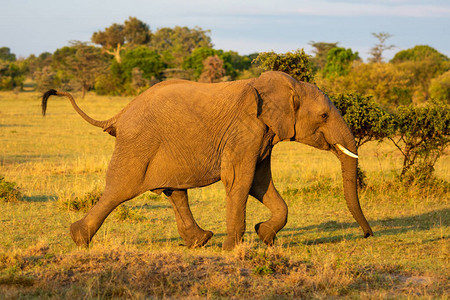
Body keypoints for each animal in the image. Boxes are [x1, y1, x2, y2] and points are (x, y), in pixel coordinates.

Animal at [42, 71, 372, 250]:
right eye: (324, 116)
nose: (367, 234)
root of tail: (120, 114)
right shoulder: (245, 131)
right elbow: (240, 181)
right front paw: (233, 250)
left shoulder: (262, 135)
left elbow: (260, 183)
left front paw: (264, 235)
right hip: (137, 145)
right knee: (119, 190)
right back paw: (79, 239)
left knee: (174, 192)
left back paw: (200, 241)